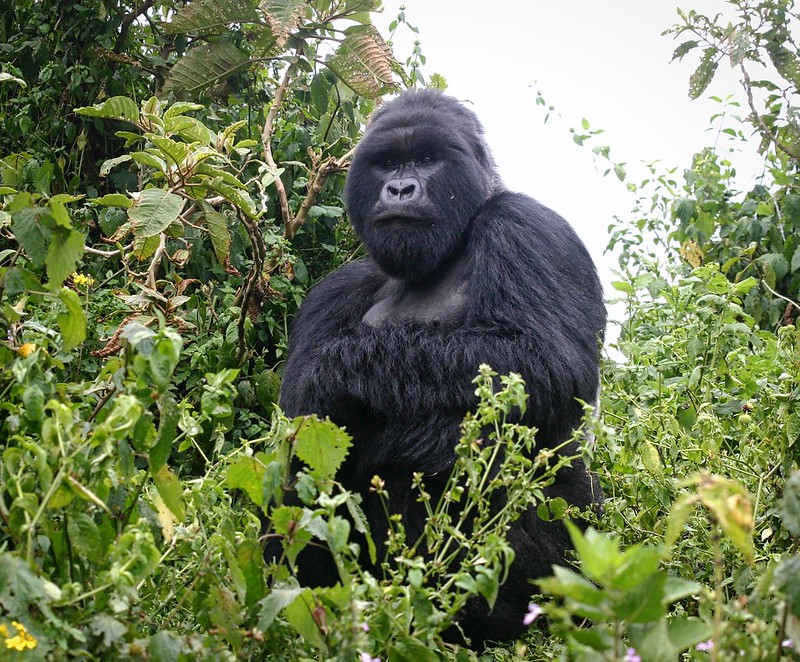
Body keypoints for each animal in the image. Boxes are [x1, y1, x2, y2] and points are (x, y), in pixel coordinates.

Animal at [276, 89, 608, 648]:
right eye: (388, 163)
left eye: (428, 158)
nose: (400, 188)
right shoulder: (335, 288)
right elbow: (300, 425)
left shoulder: (530, 225)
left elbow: (544, 363)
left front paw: (337, 370)